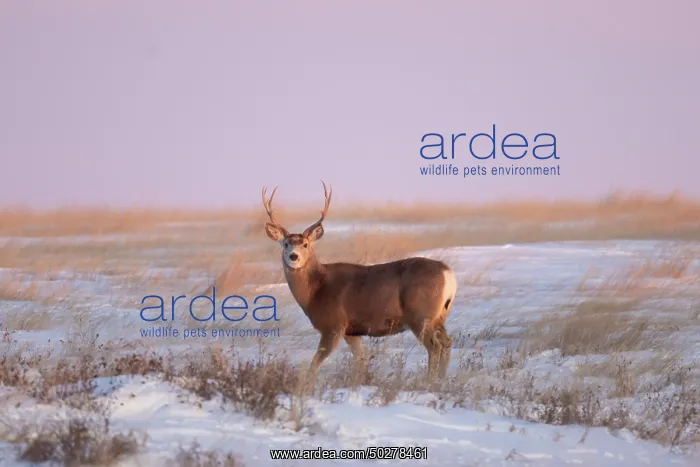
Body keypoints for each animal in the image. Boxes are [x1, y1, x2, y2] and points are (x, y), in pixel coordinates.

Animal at [261, 181, 458, 380]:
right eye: (285, 244)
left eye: (305, 244)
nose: (293, 256)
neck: (316, 290)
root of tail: (448, 273)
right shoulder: (352, 331)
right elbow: (360, 361)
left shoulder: (334, 325)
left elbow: (314, 364)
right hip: (438, 316)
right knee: (447, 342)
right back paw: (441, 380)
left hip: (420, 314)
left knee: (435, 347)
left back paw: (429, 381)